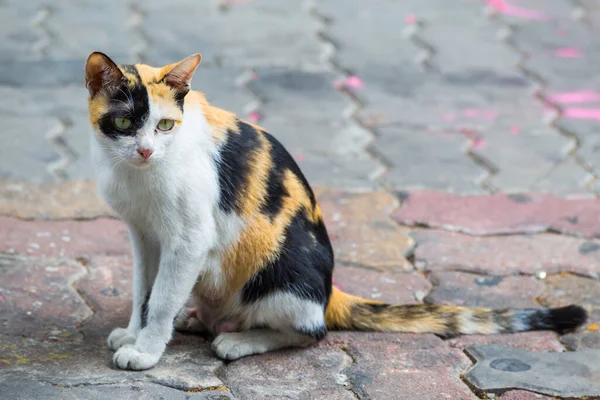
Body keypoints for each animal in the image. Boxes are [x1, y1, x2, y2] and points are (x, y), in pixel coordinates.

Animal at [84, 51, 584, 370]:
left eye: (166, 125)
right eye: (125, 122)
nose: (146, 151)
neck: (139, 176)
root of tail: (329, 292)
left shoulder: (189, 239)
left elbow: (163, 297)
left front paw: (146, 350)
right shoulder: (143, 236)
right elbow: (144, 291)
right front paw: (134, 332)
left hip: (280, 274)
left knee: (311, 331)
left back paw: (240, 339)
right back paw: (199, 319)